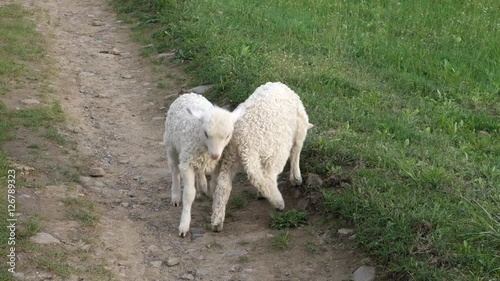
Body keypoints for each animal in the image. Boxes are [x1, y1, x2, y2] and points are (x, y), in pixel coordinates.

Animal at [163, 93, 245, 236]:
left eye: (228, 135)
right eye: (206, 133)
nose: (215, 155)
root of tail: (187, 94)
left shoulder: (218, 164)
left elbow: (215, 187)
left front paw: (215, 213)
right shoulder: (187, 163)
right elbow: (189, 194)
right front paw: (184, 225)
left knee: (199, 170)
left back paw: (202, 186)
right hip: (171, 145)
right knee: (174, 171)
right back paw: (176, 195)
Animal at [211, 81, 312, 230]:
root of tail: (242, 141)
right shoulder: (299, 130)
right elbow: (296, 153)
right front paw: (296, 179)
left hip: (230, 156)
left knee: (223, 184)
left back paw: (217, 221)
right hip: (272, 153)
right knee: (267, 177)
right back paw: (278, 202)